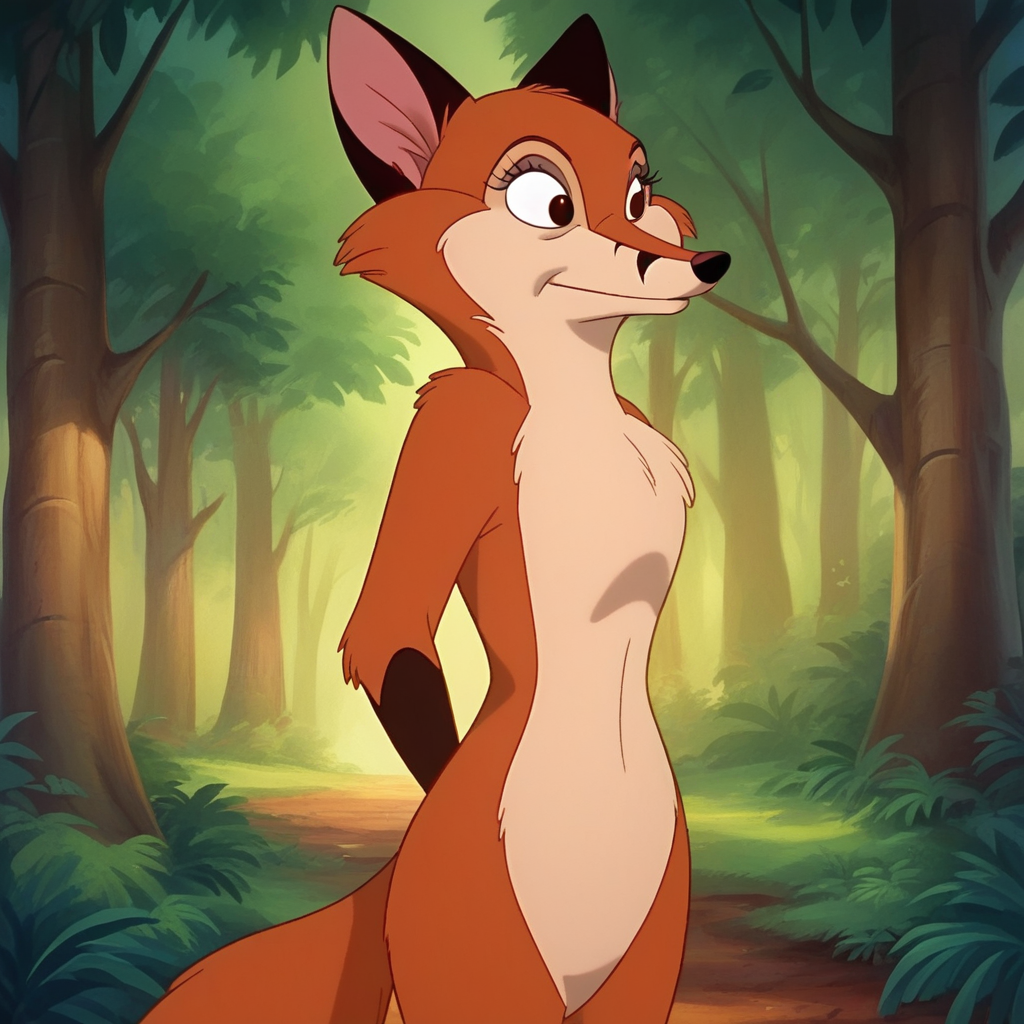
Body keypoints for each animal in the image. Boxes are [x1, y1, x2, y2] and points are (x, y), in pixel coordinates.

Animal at [140, 8, 729, 1024]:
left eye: (640, 189)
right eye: (546, 201)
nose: (708, 263)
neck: (570, 402)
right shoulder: (452, 437)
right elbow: (388, 625)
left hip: (651, 946)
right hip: (482, 941)